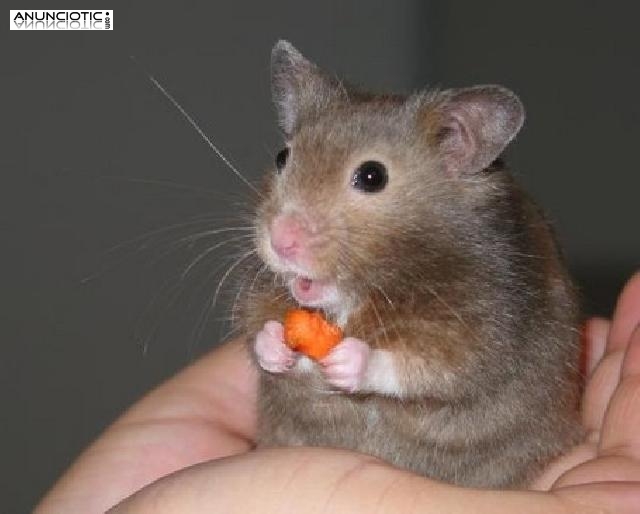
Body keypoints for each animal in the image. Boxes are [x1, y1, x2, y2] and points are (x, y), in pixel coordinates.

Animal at [238, 40, 583, 488]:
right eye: (283, 157)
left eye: (372, 176)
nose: (280, 240)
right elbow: (257, 331)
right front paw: (277, 344)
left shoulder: (482, 326)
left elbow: (430, 367)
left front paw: (345, 361)